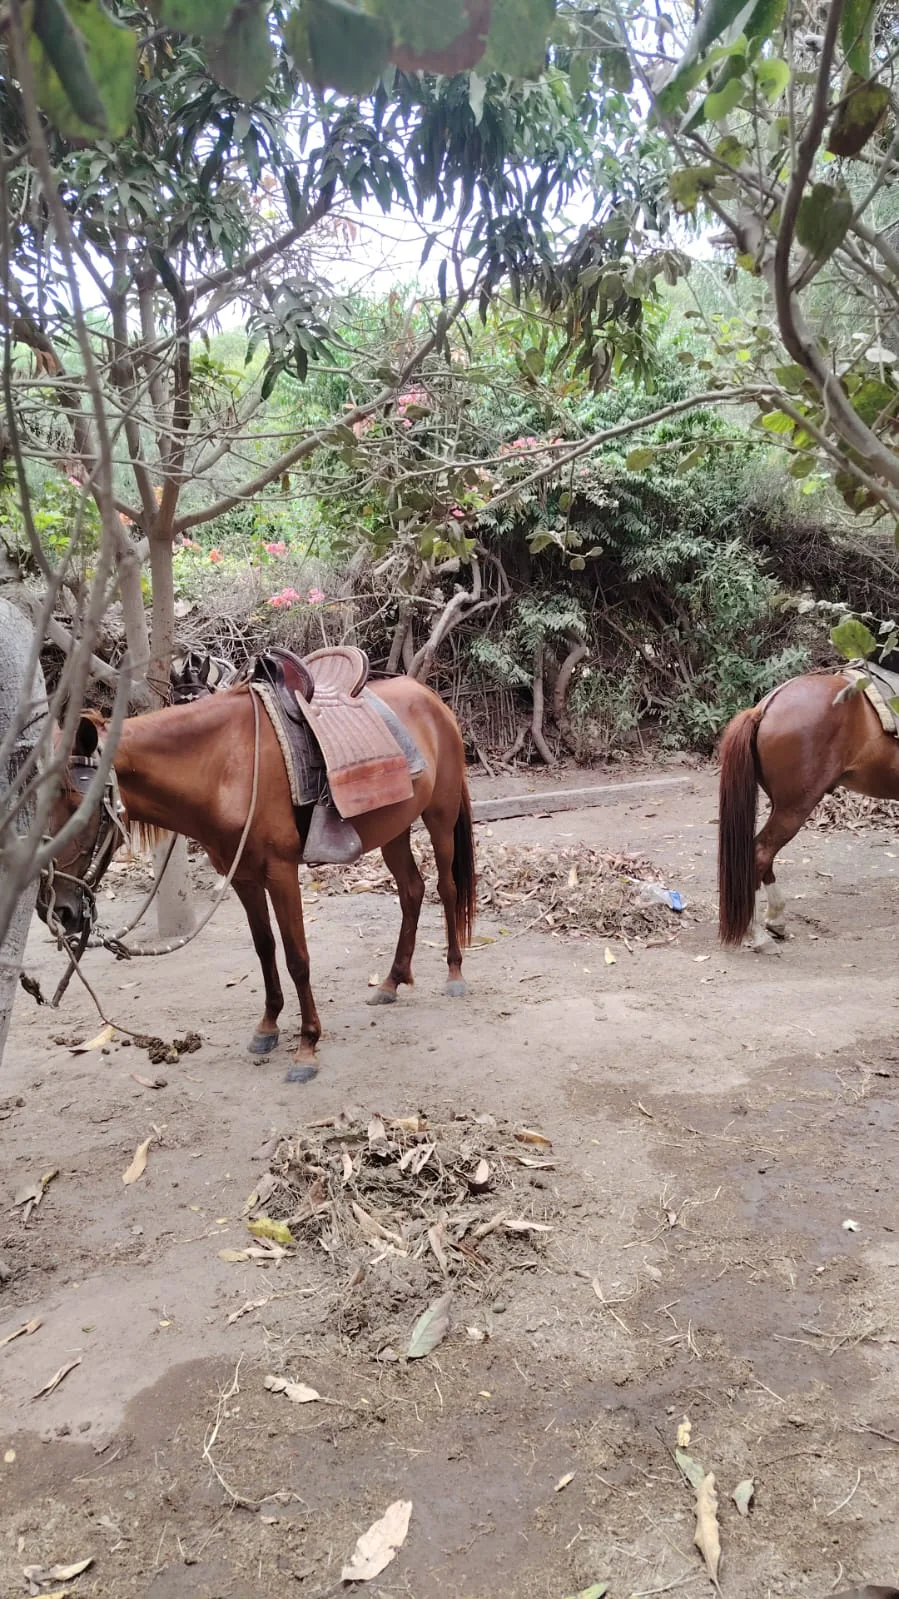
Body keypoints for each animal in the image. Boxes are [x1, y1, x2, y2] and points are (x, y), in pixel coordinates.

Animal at [35, 677, 476, 1082]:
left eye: (76, 802)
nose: (56, 909)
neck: (224, 766)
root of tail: (429, 696)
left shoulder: (280, 872)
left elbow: (297, 958)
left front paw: (307, 1046)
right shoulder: (243, 878)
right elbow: (265, 948)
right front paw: (268, 1027)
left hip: (439, 818)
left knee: (446, 889)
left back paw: (455, 975)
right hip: (394, 830)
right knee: (412, 891)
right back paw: (391, 981)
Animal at [717, 668, 899, 951]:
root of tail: (764, 708)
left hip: (781, 805)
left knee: (764, 854)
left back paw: (775, 920)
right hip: (795, 807)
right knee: (760, 853)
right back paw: (758, 935)